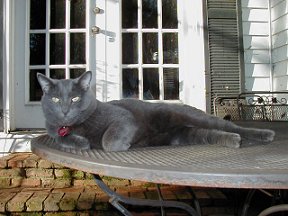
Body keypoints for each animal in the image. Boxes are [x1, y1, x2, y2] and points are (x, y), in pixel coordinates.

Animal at [37, 71, 276, 151]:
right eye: (56, 99)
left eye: (75, 98)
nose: (65, 111)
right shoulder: (54, 130)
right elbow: (61, 138)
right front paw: (81, 142)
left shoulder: (123, 118)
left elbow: (108, 139)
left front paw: (121, 145)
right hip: (182, 135)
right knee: (211, 135)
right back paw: (233, 140)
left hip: (190, 117)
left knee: (229, 125)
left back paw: (264, 134)